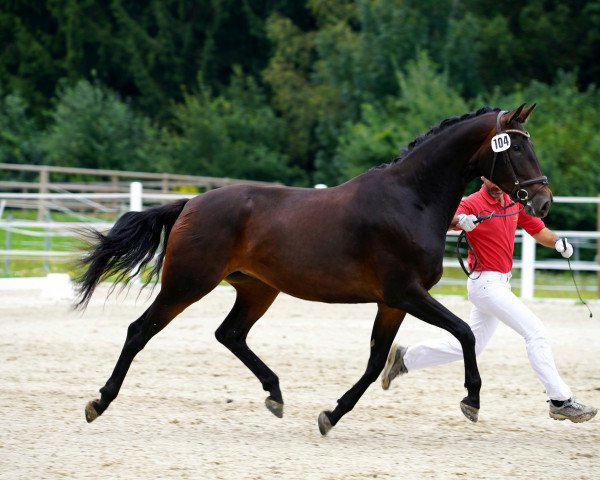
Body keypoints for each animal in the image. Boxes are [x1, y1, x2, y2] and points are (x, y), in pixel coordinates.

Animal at [77, 104, 552, 436]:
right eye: (516, 150)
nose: (543, 202)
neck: (410, 200)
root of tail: (191, 203)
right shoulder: (406, 293)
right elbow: (465, 333)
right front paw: (471, 400)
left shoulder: (392, 303)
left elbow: (376, 360)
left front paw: (331, 415)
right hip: (187, 283)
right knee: (140, 331)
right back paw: (99, 403)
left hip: (257, 289)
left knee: (230, 334)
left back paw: (275, 394)